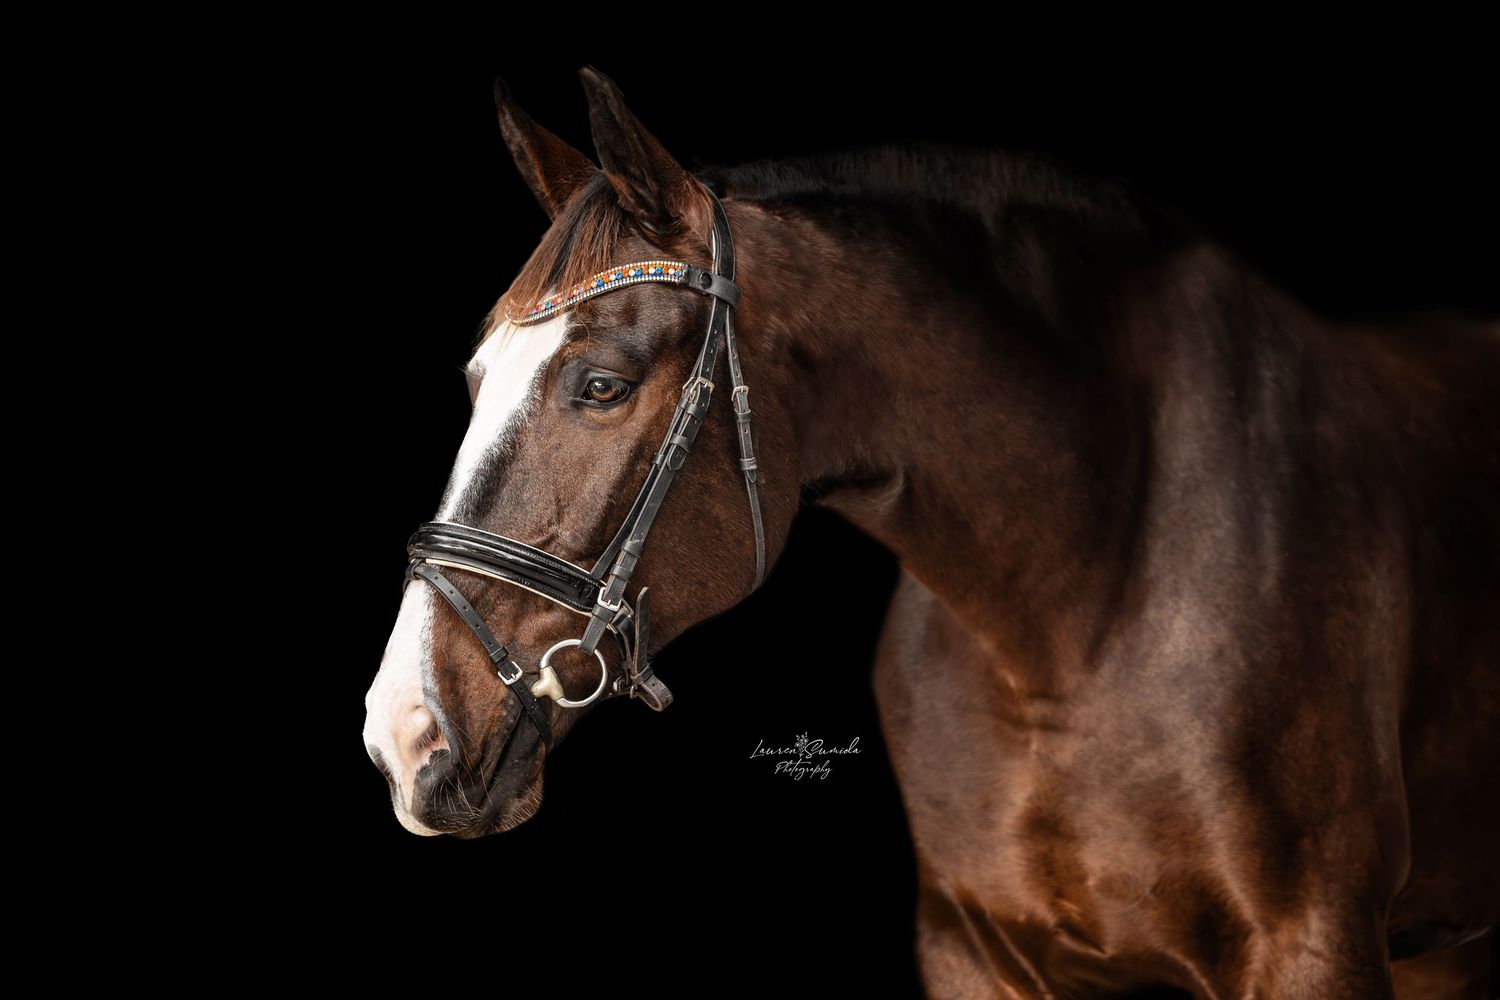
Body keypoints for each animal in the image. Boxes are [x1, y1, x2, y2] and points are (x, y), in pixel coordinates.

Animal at [361, 67, 1499, 998]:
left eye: (602, 384)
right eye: (476, 379)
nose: (403, 734)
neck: (1078, 609)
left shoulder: (1314, 946)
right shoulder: (972, 950)